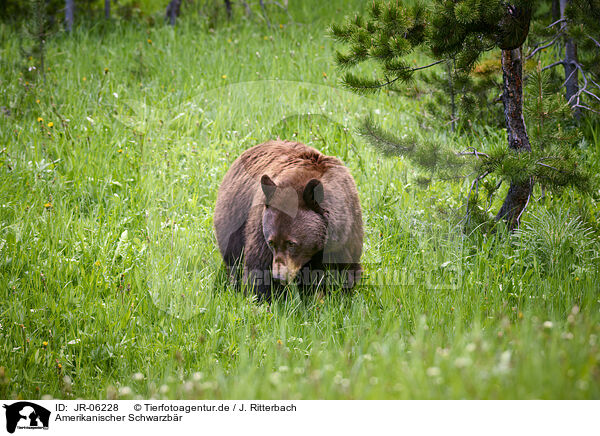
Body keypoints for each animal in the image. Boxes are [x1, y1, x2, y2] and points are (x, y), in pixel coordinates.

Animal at [214, 141, 364, 298]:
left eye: (292, 243)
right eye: (271, 242)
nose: (279, 277)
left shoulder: (346, 234)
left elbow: (343, 269)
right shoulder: (260, 226)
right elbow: (258, 265)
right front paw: (260, 296)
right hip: (233, 219)